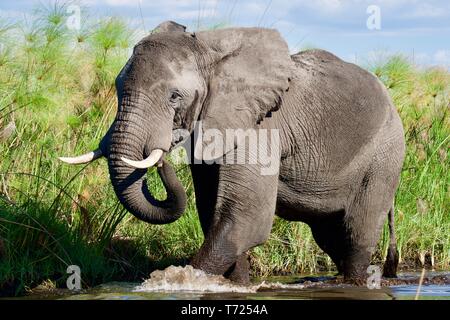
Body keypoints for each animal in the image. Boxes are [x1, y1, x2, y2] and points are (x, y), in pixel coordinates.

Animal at [59, 21, 404, 284]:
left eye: (174, 97)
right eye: (118, 88)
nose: (161, 161)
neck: (208, 50)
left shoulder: (259, 126)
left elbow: (245, 219)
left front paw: (180, 282)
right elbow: (213, 214)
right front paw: (235, 285)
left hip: (384, 157)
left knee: (356, 236)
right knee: (331, 237)